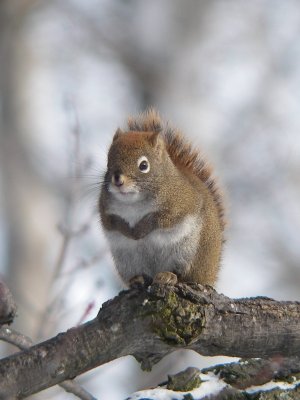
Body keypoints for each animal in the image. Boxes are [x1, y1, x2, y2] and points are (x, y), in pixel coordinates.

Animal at [99, 108, 225, 286]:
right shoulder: (105, 209)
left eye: (144, 165)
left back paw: (169, 275)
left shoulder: (182, 204)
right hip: (126, 261)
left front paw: (141, 229)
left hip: (188, 253)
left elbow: (161, 220)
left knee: (184, 275)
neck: (133, 202)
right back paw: (137, 279)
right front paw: (128, 231)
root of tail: (209, 276)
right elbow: (112, 223)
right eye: (108, 162)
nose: (118, 180)